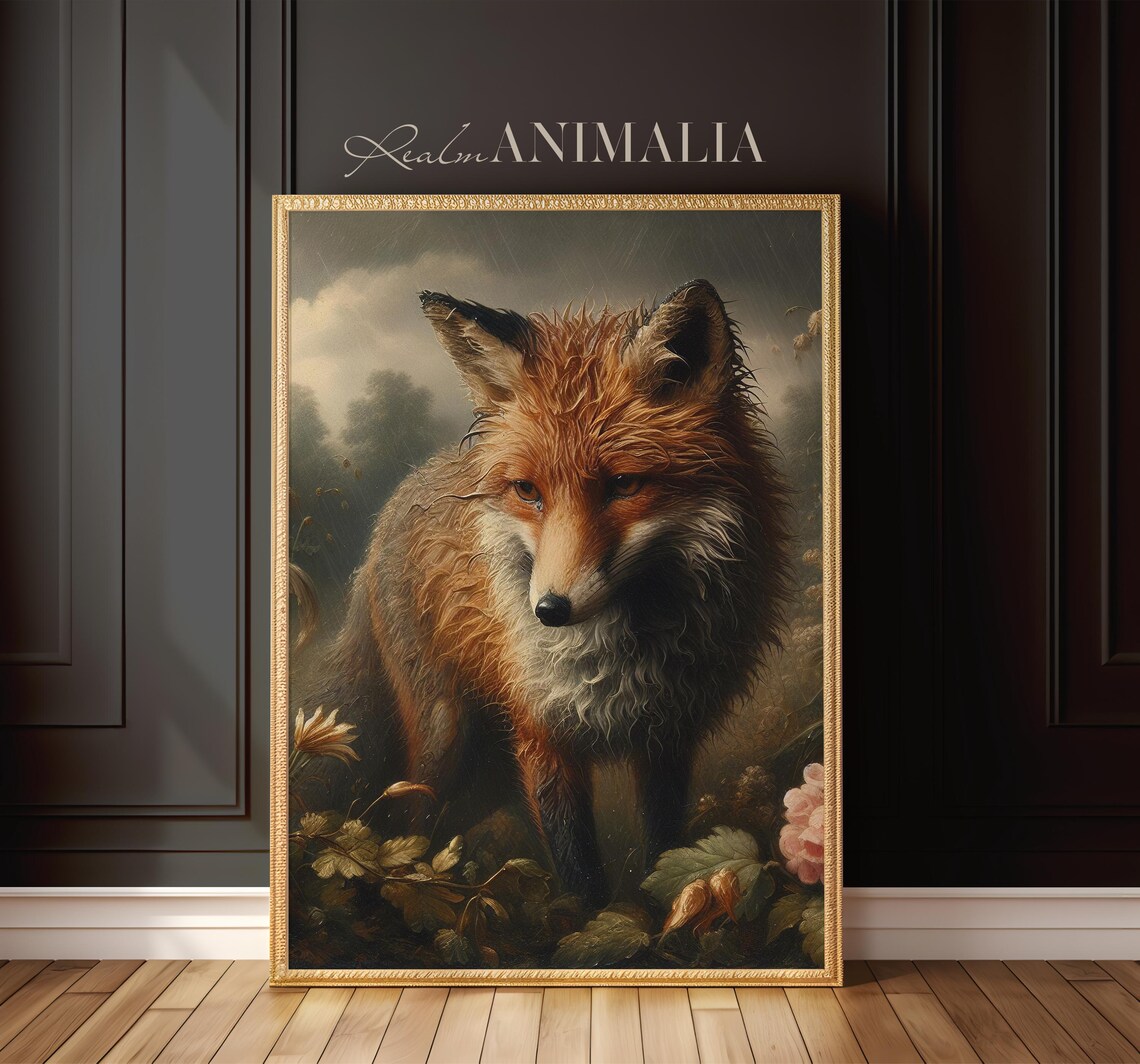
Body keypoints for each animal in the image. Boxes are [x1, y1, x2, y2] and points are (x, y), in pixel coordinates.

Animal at [325, 279, 793, 906]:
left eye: (624, 484)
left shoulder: (668, 737)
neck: (620, 659)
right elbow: (578, 869)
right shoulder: (541, 730)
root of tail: (392, 508)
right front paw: (586, 921)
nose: (548, 610)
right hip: (446, 733)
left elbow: (661, 846)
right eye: (528, 491)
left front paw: (658, 918)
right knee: (411, 815)